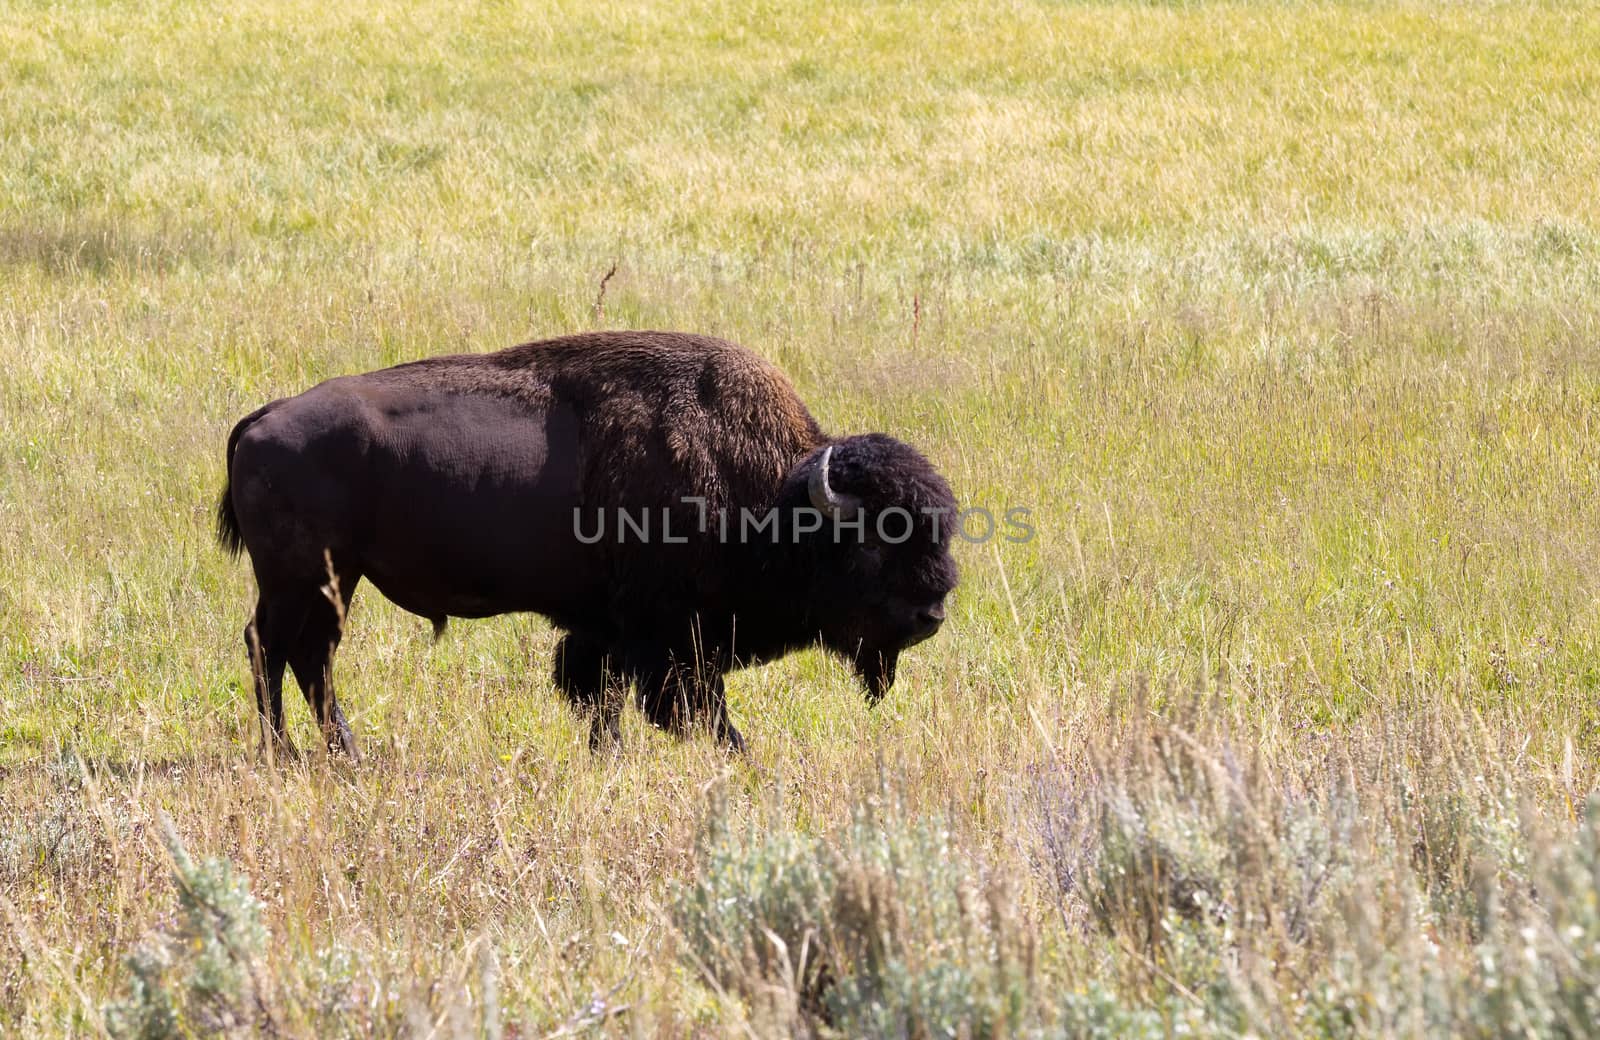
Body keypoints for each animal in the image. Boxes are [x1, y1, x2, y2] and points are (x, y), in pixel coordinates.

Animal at [219, 329, 953, 752]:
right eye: (872, 541)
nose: (931, 615)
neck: (776, 494)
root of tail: (262, 419)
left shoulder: (606, 632)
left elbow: (602, 700)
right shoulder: (670, 636)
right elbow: (692, 708)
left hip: (332, 580)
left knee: (309, 658)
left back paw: (344, 755)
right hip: (302, 579)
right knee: (274, 649)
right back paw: (285, 755)